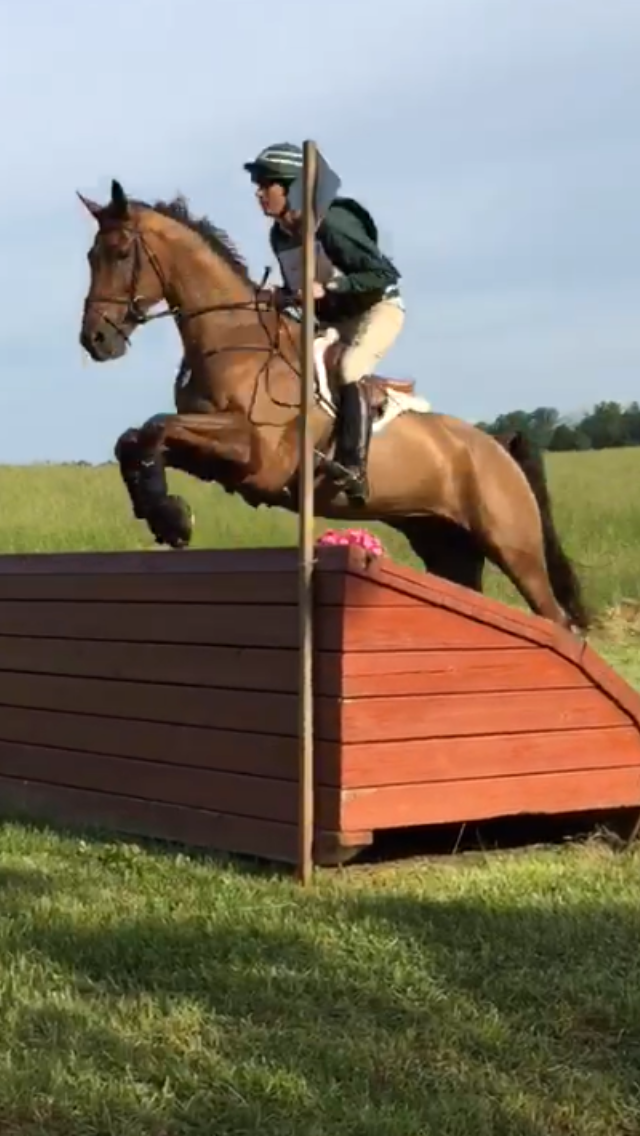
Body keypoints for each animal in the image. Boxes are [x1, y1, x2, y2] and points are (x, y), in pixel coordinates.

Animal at [77, 178, 590, 632]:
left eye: (120, 254)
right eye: (90, 256)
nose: (95, 340)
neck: (234, 339)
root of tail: (497, 444)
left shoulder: (258, 457)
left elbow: (157, 426)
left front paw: (172, 518)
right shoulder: (216, 454)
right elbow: (136, 438)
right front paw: (161, 512)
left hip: (513, 545)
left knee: (554, 617)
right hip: (444, 543)